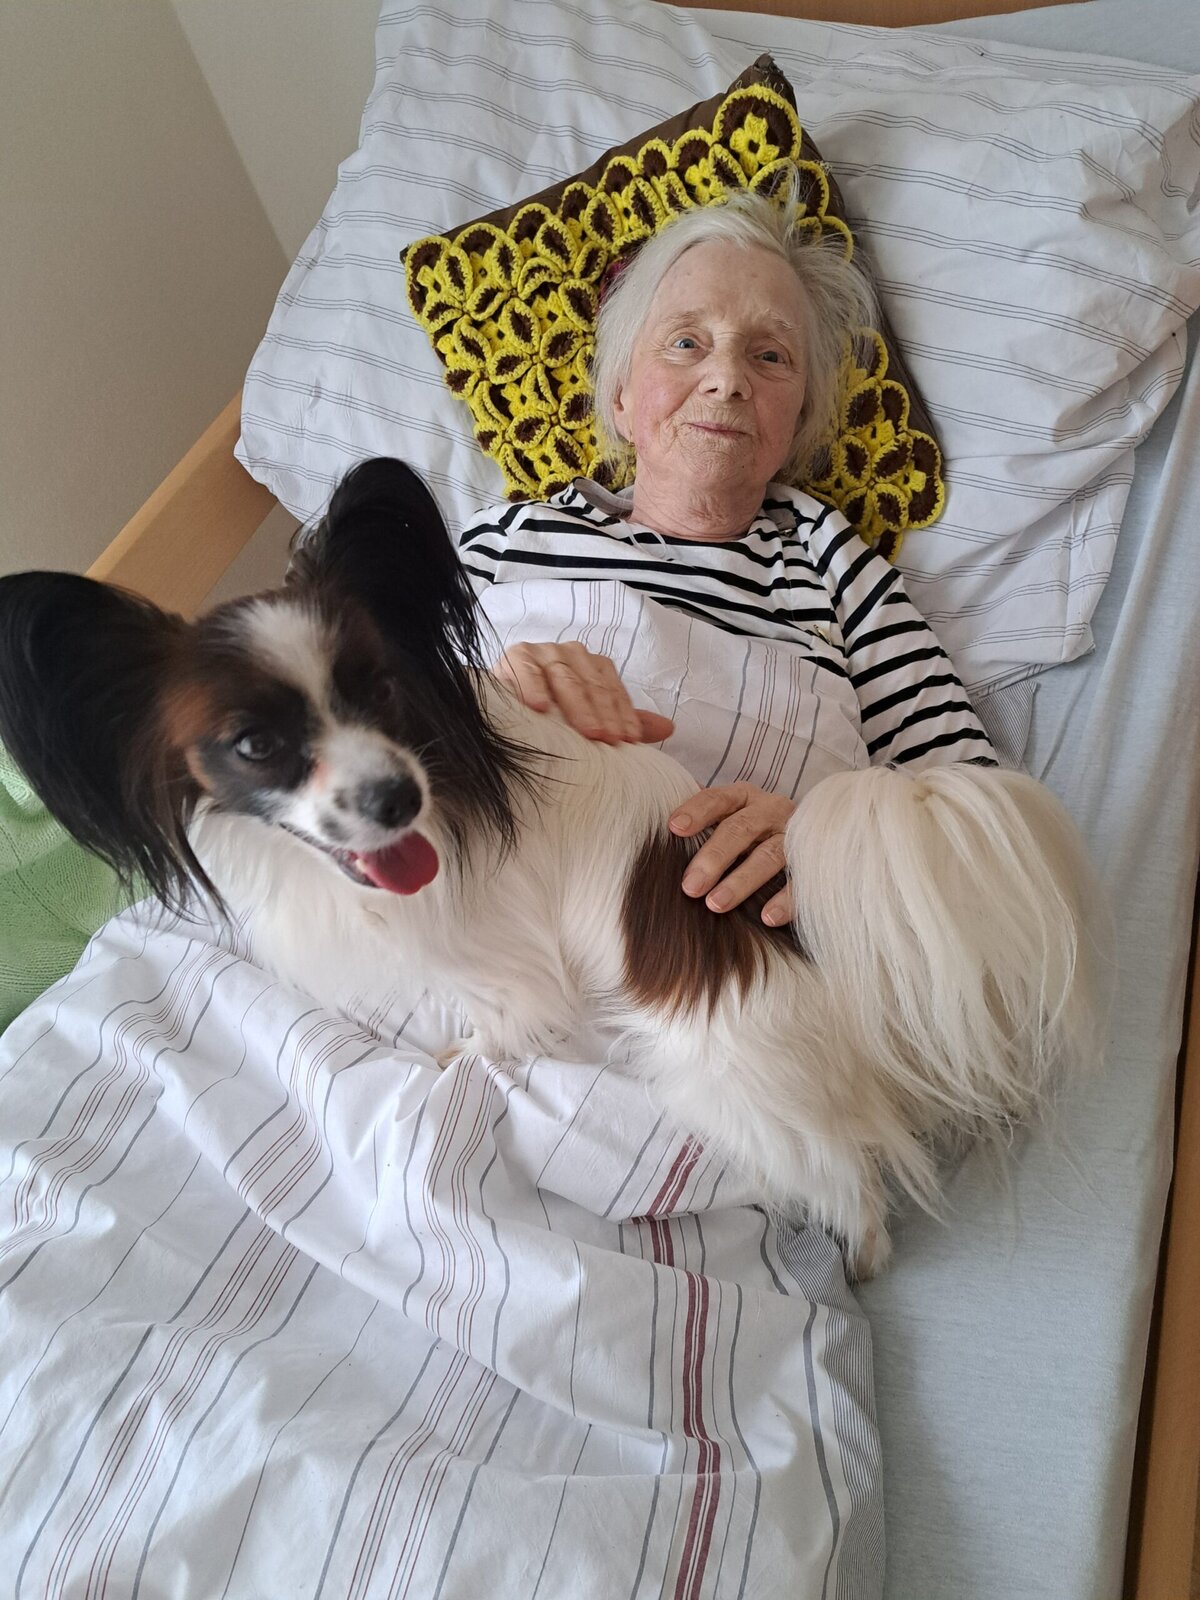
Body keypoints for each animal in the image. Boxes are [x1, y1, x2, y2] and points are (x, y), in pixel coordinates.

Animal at [0, 458, 1101, 1276]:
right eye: (254, 747)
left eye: (379, 692)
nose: (394, 801)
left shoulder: (509, 971)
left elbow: (484, 1030)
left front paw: (446, 1055)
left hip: (733, 1088)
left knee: (851, 1165)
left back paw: (862, 1250)